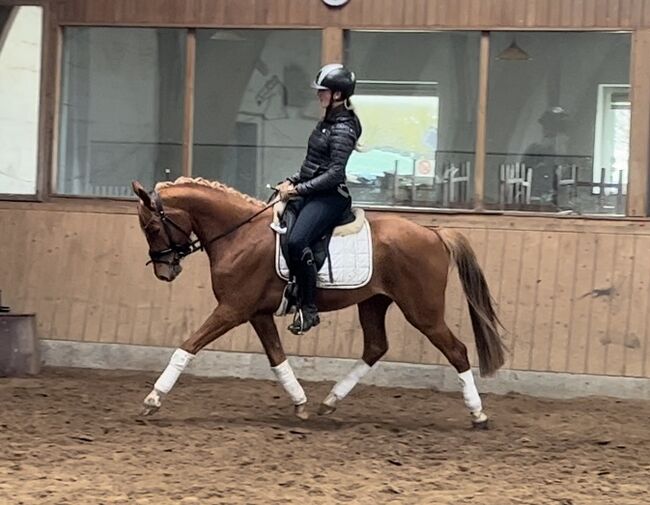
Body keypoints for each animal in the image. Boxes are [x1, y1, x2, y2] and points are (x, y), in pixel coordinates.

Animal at [133, 175, 506, 428]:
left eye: (152, 227)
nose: (165, 272)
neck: (239, 234)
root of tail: (434, 234)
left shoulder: (232, 309)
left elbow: (187, 347)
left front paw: (153, 399)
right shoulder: (256, 313)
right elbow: (277, 358)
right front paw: (300, 403)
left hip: (422, 311)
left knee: (457, 350)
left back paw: (478, 414)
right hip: (374, 302)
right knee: (375, 347)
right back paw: (330, 401)